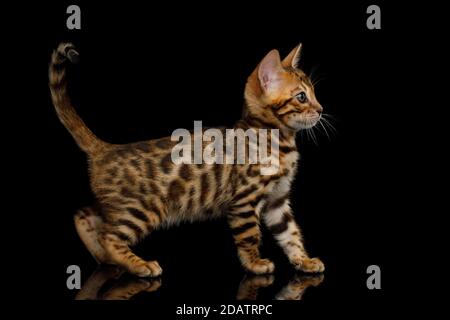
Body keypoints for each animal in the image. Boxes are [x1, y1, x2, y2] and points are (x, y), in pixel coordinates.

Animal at [48, 42, 324, 278]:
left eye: (314, 93)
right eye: (301, 97)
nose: (321, 110)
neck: (277, 139)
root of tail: (104, 149)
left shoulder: (277, 199)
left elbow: (290, 234)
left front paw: (304, 261)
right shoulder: (244, 199)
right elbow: (249, 235)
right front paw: (254, 263)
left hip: (118, 205)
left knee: (84, 214)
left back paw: (105, 258)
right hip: (142, 208)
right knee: (109, 236)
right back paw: (138, 265)